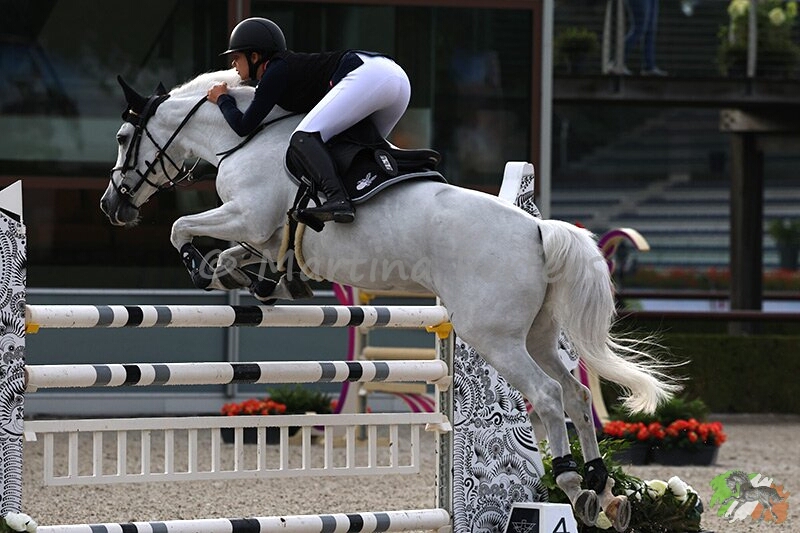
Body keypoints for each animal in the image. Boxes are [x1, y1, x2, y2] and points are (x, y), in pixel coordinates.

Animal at [100, 68, 680, 531]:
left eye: (124, 136)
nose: (112, 206)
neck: (241, 138)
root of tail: (537, 230)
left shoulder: (247, 215)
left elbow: (180, 227)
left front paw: (202, 267)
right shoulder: (263, 233)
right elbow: (241, 257)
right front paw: (264, 281)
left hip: (493, 338)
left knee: (548, 396)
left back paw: (574, 486)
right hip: (535, 336)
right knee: (576, 396)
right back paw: (606, 492)